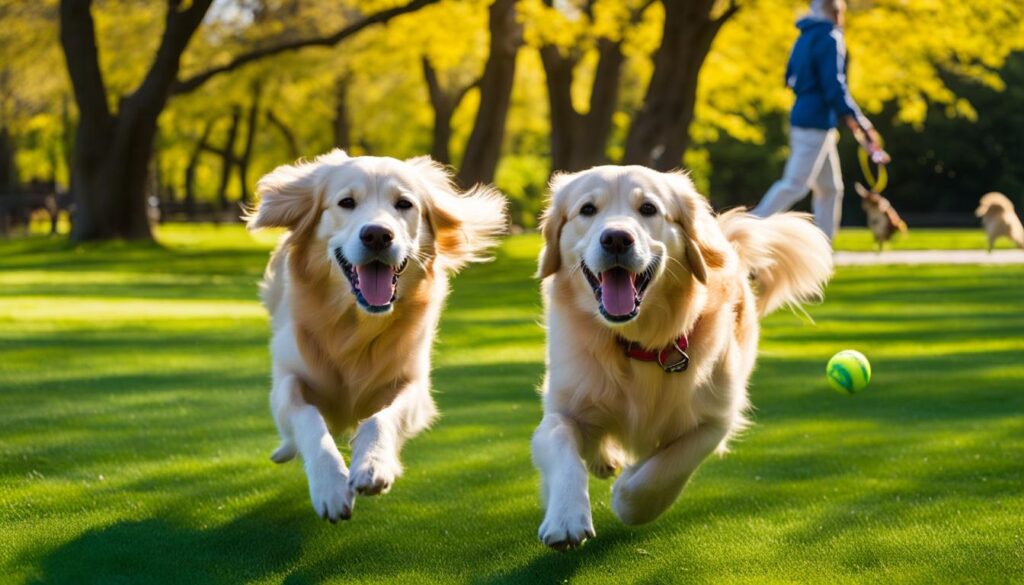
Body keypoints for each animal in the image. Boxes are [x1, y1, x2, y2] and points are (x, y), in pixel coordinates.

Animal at [247, 149, 503, 522]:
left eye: (404, 204)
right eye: (346, 202)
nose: (378, 235)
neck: (356, 324)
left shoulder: (413, 385)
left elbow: (381, 419)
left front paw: (372, 464)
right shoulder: (290, 377)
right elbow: (308, 418)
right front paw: (330, 484)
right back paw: (285, 450)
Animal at [532, 166, 835, 553]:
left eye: (648, 208)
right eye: (587, 209)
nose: (616, 239)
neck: (638, 343)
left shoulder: (716, 419)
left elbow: (664, 471)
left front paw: (628, 495)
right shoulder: (564, 407)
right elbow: (561, 443)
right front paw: (566, 518)